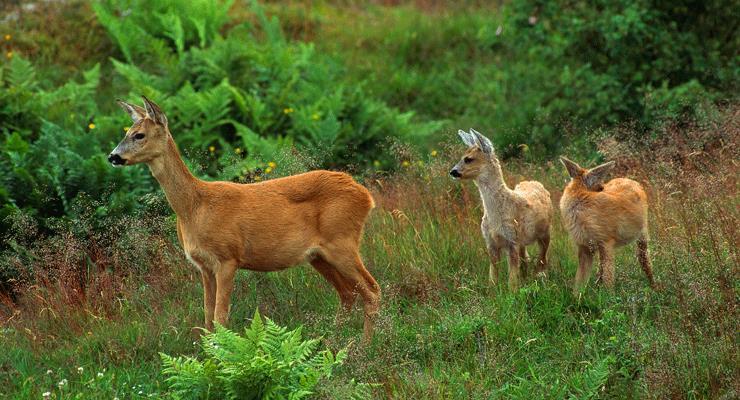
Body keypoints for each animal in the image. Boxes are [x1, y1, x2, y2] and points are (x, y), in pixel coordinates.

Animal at [108, 96, 382, 340]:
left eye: (139, 135)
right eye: (127, 131)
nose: (113, 156)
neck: (194, 208)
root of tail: (366, 195)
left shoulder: (228, 257)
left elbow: (221, 317)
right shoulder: (204, 266)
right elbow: (207, 318)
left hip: (342, 241)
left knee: (372, 290)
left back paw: (364, 347)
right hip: (318, 255)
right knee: (347, 294)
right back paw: (333, 343)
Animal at [448, 130, 552, 290]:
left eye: (468, 159)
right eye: (462, 157)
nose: (453, 172)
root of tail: (535, 182)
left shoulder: (512, 240)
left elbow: (512, 280)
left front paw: (513, 293)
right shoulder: (490, 241)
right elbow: (492, 277)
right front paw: (493, 292)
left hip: (545, 232)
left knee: (542, 259)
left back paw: (541, 279)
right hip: (523, 241)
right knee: (526, 260)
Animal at [556, 157, 656, 294]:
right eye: (599, 183)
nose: (603, 187)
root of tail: (630, 180)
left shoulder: (606, 242)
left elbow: (608, 280)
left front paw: (609, 298)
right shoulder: (584, 247)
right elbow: (579, 283)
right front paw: (577, 298)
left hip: (642, 238)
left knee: (646, 264)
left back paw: (655, 288)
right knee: (600, 271)